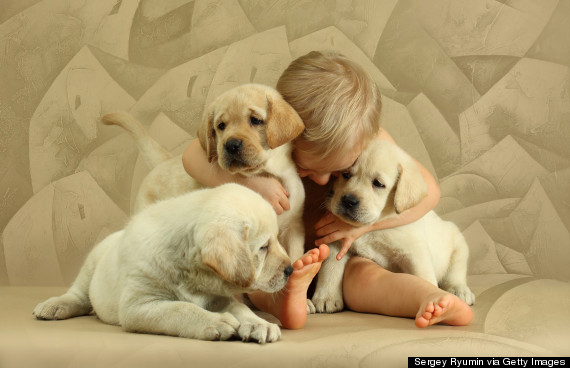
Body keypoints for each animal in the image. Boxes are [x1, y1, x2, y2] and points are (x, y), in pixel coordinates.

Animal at [34, 185, 292, 344]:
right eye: (264, 247)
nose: (290, 269)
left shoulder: (219, 296)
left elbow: (239, 307)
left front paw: (258, 323)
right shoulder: (139, 305)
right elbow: (181, 309)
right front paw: (215, 321)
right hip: (92, 262)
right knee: (78, 295)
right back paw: (54, 306)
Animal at [102, 83, 306, 262]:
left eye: (255, 120)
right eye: (221, 126)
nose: (231, 145)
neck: (266, 173)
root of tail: (164, 161)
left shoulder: (294, 227)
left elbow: (295, 257)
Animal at [308, 139, 472, 312]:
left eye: (378, 184)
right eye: (345, 174)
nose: (348, 200)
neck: (373, 226)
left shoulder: (415, 253)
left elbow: (424, 278)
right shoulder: (336, 243)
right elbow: (330, 269)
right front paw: (326, 297)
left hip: (458, 245)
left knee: (455, 274)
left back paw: (459, 290)